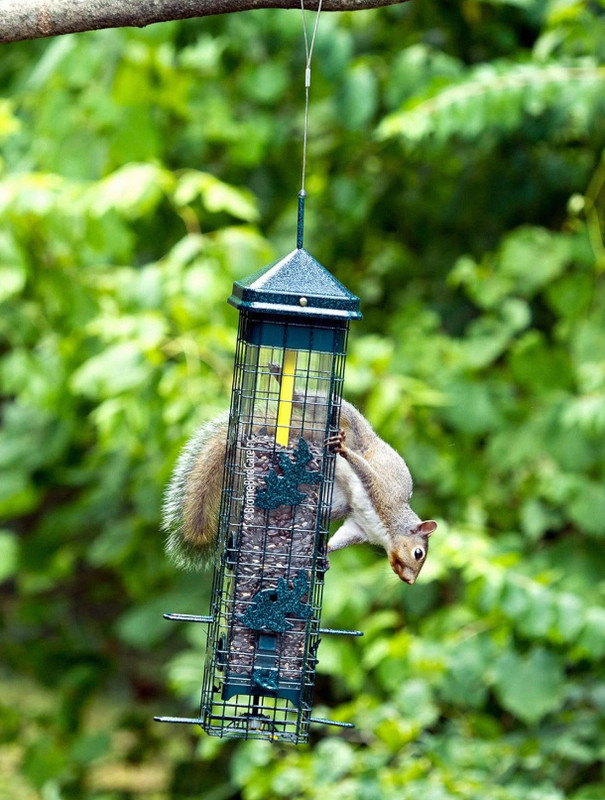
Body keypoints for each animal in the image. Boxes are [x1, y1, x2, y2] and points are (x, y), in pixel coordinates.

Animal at [162, 378, 437, 584]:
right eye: (418, 553)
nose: (409, 581)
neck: (387, 529)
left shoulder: (359, 526)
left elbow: (343, 536)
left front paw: (325, 553)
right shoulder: (380, 492)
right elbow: (365, 471)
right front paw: (344, 451)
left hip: (337, 502)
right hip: (349, 421)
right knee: (316, 403)